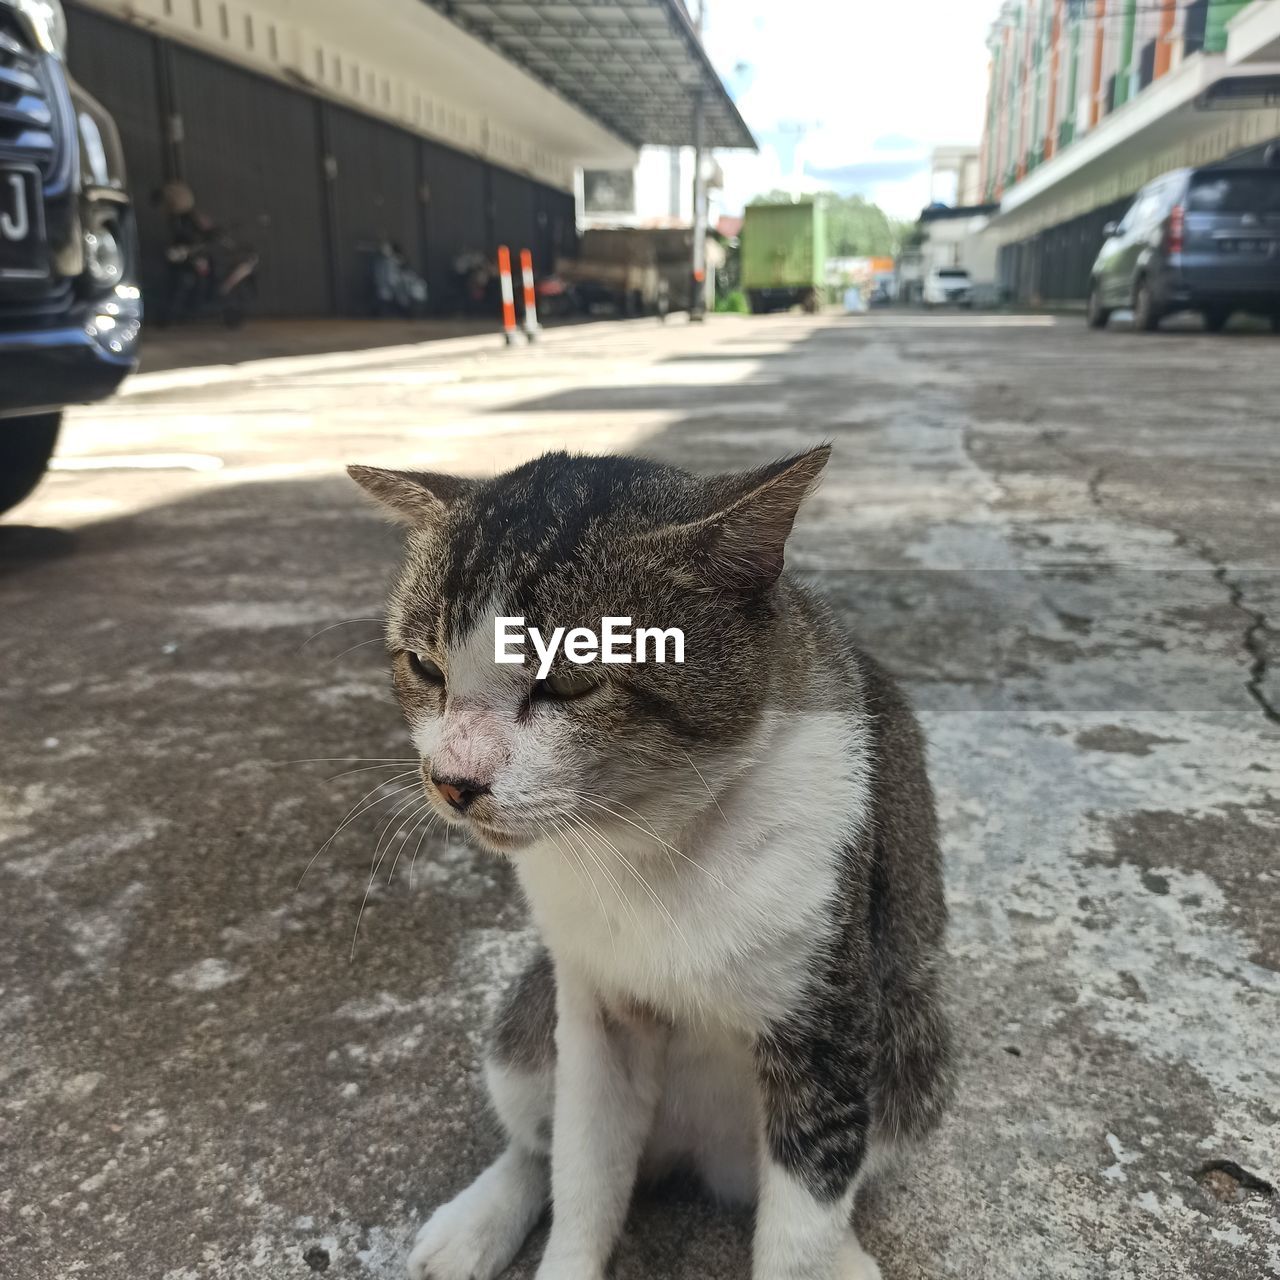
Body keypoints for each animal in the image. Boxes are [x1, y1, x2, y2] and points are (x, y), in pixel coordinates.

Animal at [348, 445, 952, 1274]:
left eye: (569, 681)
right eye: (426, 668)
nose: (453, 780)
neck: (649, 843)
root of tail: (697, 1159)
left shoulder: (828, 1025)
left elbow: (801, 1225)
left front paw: (816, 1252)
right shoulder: (595, 1011)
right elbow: (582, 1171)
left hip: (912, 1050)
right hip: (530, 1017)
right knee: (540, 1140)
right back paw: (479, 1220)